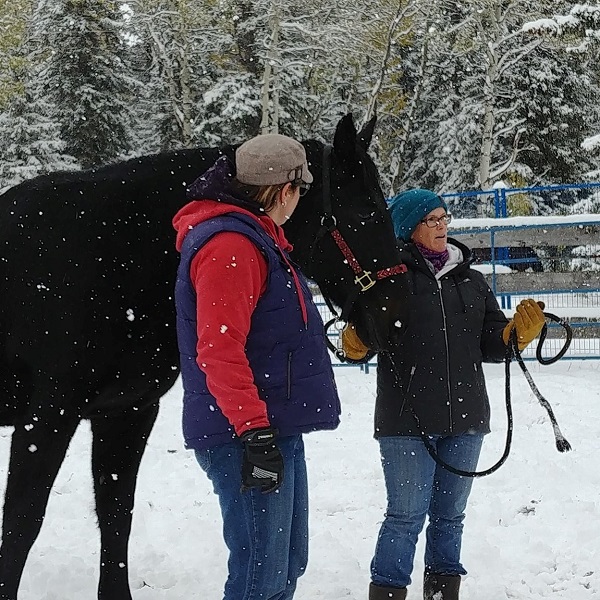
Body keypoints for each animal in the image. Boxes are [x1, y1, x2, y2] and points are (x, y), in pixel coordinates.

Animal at [0, 115, 408, 596]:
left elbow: (116, 514)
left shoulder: (126, 411)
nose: (397, 313)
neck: (109, 251)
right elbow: (22, 522)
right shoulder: (47, 416)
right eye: (365, 211)